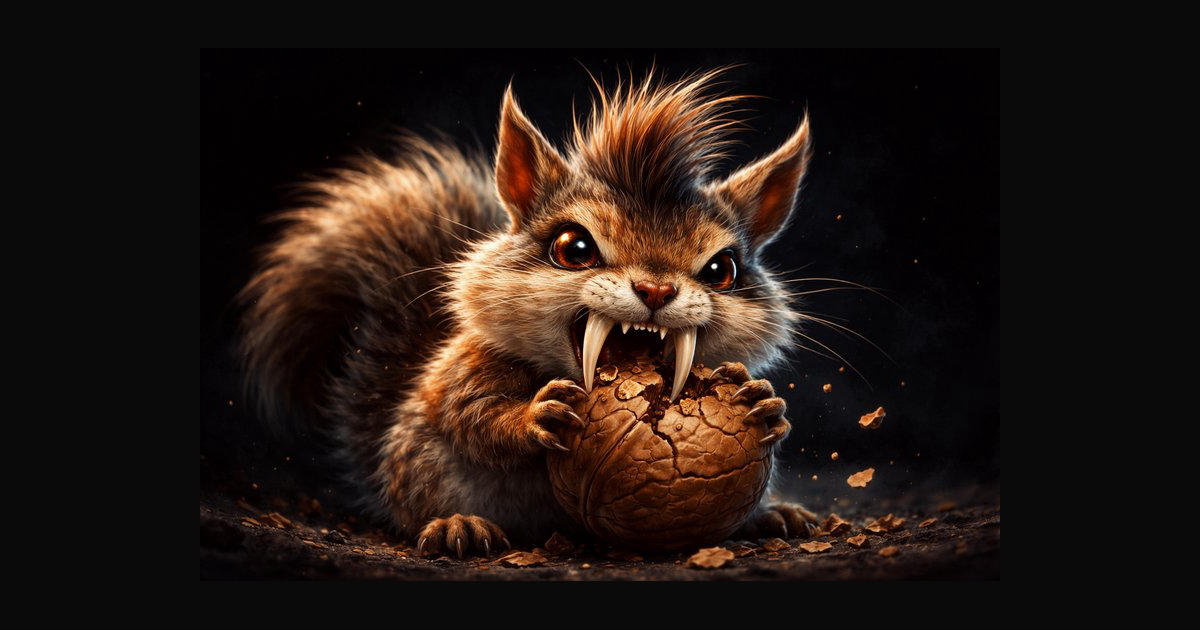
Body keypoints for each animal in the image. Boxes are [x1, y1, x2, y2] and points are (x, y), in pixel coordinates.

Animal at [238, 66, 821, 558]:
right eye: (572, 248)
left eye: (723, 269)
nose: (655, 290)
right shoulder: (468, 367)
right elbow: (473, 415)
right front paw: (534, 415)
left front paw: (765, 405)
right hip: (420, 465)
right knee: (420, 506)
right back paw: (456, 525)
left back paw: (773, 516)